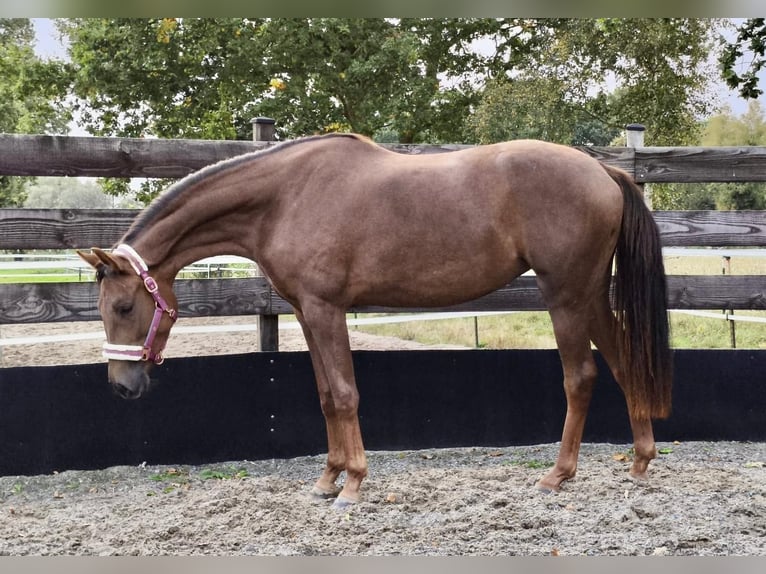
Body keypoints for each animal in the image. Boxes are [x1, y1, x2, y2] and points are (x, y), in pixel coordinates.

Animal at [78, 133, 672, 508]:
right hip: (589, 297)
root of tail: (602, 170)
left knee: (581, 377)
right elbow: (324, 395)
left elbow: (344, 394)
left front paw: (353, 484)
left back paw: (557, 475)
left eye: (124, 307)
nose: (122, 386)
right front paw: (327, 478)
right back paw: (641, 462)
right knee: (624, 364)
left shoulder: (326, 309)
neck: (284, 196)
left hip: (566, 296)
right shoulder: (306, 312)